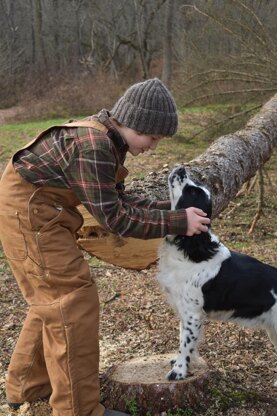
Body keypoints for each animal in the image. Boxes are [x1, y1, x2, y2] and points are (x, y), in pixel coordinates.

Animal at [157, 166, 276, 386]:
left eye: (192, 191)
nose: (181, 168)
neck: (193, 247)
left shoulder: (193, 314)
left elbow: (186, 343)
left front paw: (179, 371)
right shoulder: (185, 311)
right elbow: (183, 339)